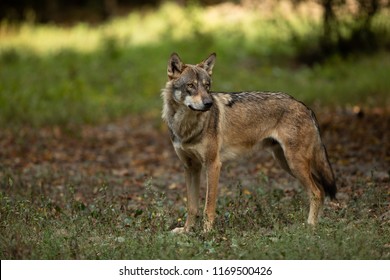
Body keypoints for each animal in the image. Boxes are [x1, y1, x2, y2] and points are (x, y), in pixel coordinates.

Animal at [161, 52, 336, 232]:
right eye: (190, 85)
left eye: (207, 86)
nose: (209, 103)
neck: (186, 126)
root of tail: (305, 107)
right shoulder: (190, 167)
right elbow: (192, 206)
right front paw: (187, 231)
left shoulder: (213, 165)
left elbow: (208, 207)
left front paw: (206, 232)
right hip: (287, 164)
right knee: (321, 190)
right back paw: (316, 224)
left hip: (295, 164)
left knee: (316, 192)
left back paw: (310, 226)